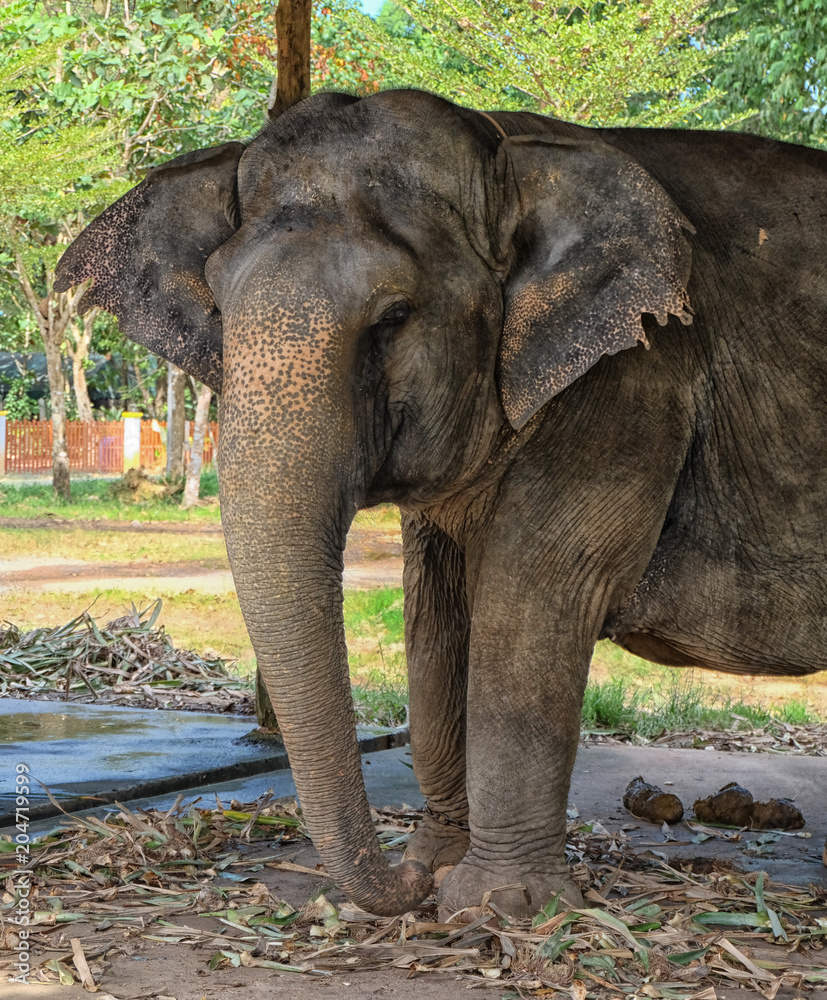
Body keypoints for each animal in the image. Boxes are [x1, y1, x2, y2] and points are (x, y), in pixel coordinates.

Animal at [55, 88, 827, 918]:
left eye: (393, 317)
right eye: (220, 311)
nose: (406, 883)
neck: (509, 152)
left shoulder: (632, 385)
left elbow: (530, 604)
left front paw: (494, 906)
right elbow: (435, 618)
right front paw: (438, 865)